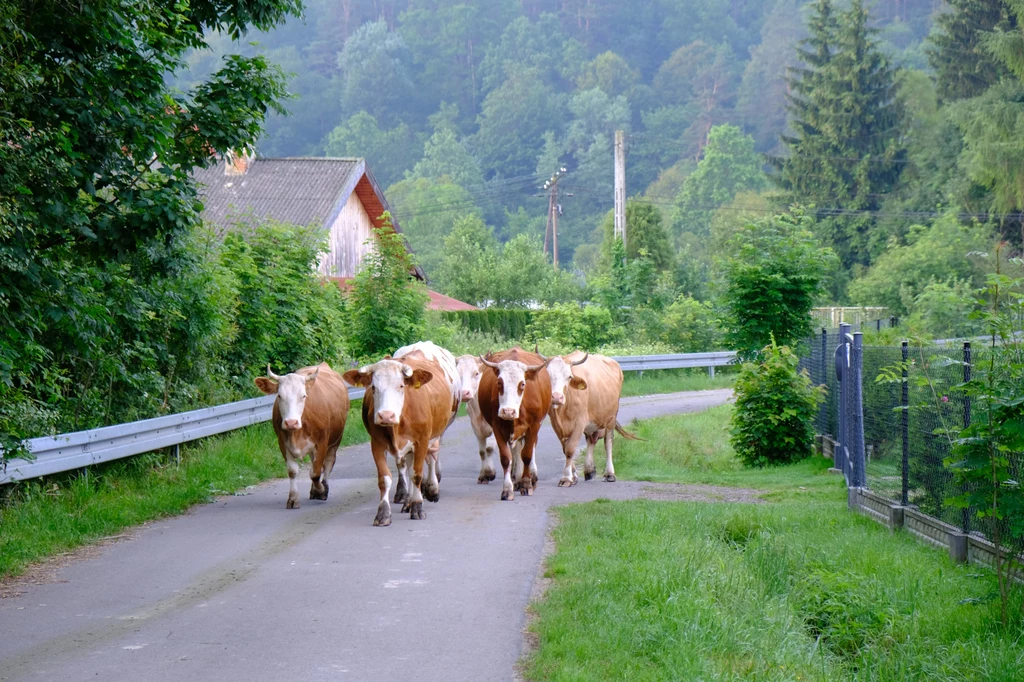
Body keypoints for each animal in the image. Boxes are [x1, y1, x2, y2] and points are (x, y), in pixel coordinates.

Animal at [252, 364, 350, 507]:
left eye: (303, 396)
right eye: (279, 396)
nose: (291, 422)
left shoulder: (322, 441)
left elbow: (315, 472)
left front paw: (320, 490)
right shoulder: (282, 442)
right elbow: (293, 471)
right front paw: (293, 498)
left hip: (336, 439)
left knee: (328, 463)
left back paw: (324, 487)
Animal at [344, 348, 456, 522]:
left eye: (401, 386)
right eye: (373, 387)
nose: (386, 415)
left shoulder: (422, 441)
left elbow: (417, 474)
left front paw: (417, 507)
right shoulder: (376, 443)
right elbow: (385, 478)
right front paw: (383, 514)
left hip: (436, 434)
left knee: (431, 459)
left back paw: (432, 490)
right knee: (408, 467)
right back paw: (407, 502)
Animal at [458, 352, 501, 481]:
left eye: (476, 373)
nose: (464, 393)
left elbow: (489, 448)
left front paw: (490, 472)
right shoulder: (475, 427)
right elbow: (482, 452)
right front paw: (483, 474)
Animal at [477, 346, 552, 499]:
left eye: (522, 384)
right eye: (499, 383)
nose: (508, 411)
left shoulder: (533, 427)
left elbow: (527, 455)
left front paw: (526, 484)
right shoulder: (497, 427)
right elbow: (506, 458)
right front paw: (507, 489)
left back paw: (530, 478)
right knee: (516, 451)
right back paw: (516, 479)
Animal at [544, 350, 638, 483]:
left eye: (569, 376)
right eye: (548, 376)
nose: (557, 397)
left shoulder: (579, 422)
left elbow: (570, 449)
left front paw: (566, 478)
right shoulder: (556, 425)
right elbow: (565, 449)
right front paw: (573, 476)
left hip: (611, 418)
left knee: (608, 442)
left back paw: (609, 473)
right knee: (591, 441)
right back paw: (589, 470)